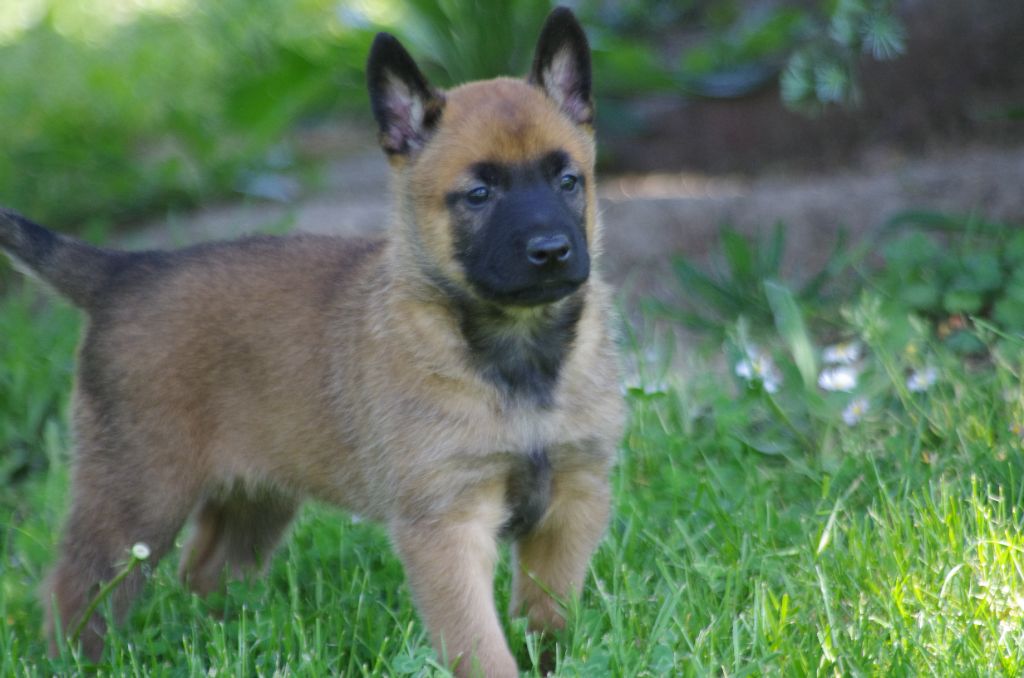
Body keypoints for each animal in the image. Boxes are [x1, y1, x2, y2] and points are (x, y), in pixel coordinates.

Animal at [0, 7, 622, 675]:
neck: (517, 353)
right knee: (75, 589)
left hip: (255, 496)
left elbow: (548, 618)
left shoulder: (573, 501)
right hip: (137, 497)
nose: (551, 251)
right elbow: (479, 646)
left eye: (568, 181)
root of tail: (124, 270)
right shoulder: (447, 524)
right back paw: (80, 659)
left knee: (206, 572)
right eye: (479, 194)